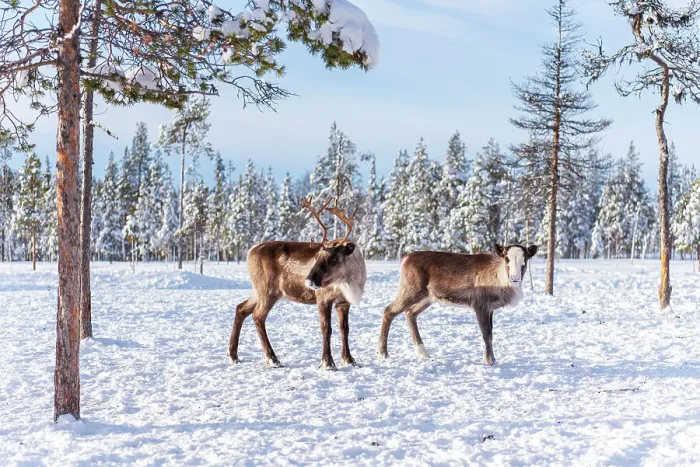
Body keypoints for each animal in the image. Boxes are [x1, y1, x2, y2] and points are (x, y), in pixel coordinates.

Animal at [228, 197, 367, 370]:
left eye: (334, 259)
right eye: (317, 256)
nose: (309, 280)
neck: (350, 281)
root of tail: (250, 251)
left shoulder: (343, 302)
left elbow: (345, 329)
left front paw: (349, 359)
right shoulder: (323, 298)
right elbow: (326, 328)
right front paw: (328, 363)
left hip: (257, 290)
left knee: (240, 308)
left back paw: (233, 355)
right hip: (267, 290)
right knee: (257, 316)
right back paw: (273, 359)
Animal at [378, 243, 538, 366]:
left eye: (525, 259)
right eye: (506, 258)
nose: (515, 278)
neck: (500, 278)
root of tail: (405, 259)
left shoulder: (490, 309)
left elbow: (491, 333)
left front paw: (492, 359)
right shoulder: (480, 305)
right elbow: (487, 334)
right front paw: (490, 360)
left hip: (428, 297)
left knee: (410, 313)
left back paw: (422, 352)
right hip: (412, 290)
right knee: (389, 310)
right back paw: (382, 353)